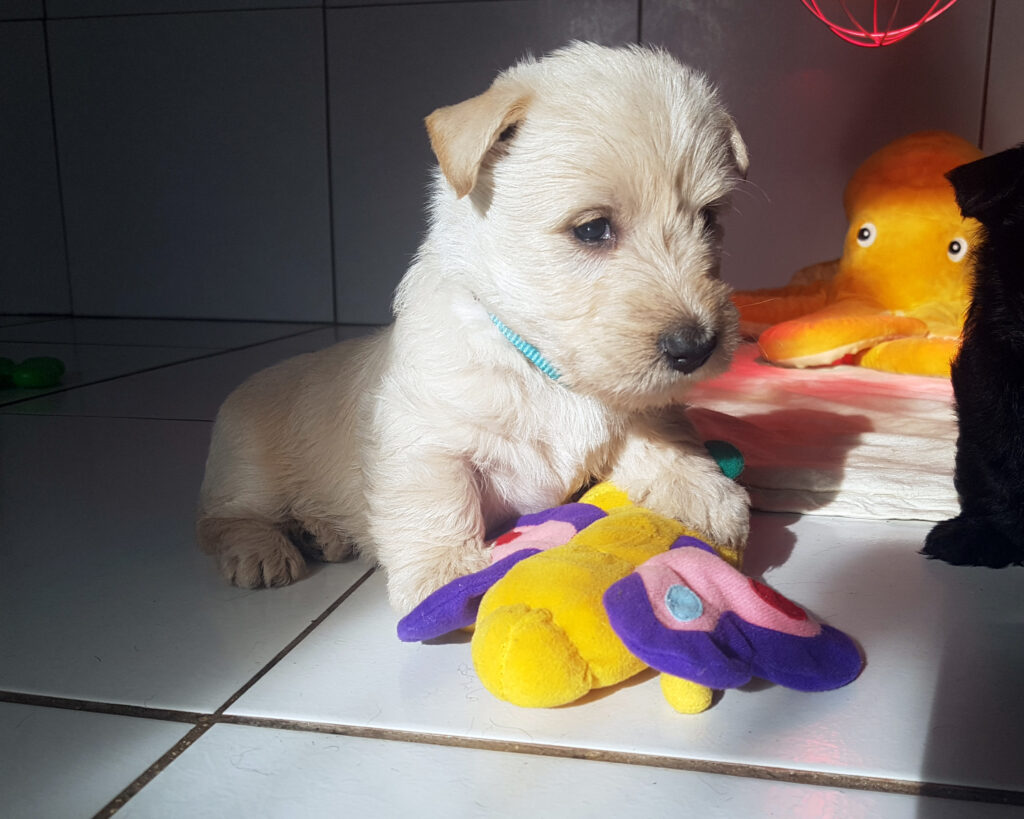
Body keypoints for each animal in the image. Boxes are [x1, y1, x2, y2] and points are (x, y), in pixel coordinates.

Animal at [195, 41, 753, 610]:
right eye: (593, 228)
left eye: (708, 219)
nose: (697, 348)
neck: (541, 365)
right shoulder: (426, 443)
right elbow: (438, 504)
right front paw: (446, 578)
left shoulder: (632, 404)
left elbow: (658, 433)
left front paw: (706, 493)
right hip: (248, 466)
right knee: (224, 519)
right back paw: (263, 550)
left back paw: (321, 532)